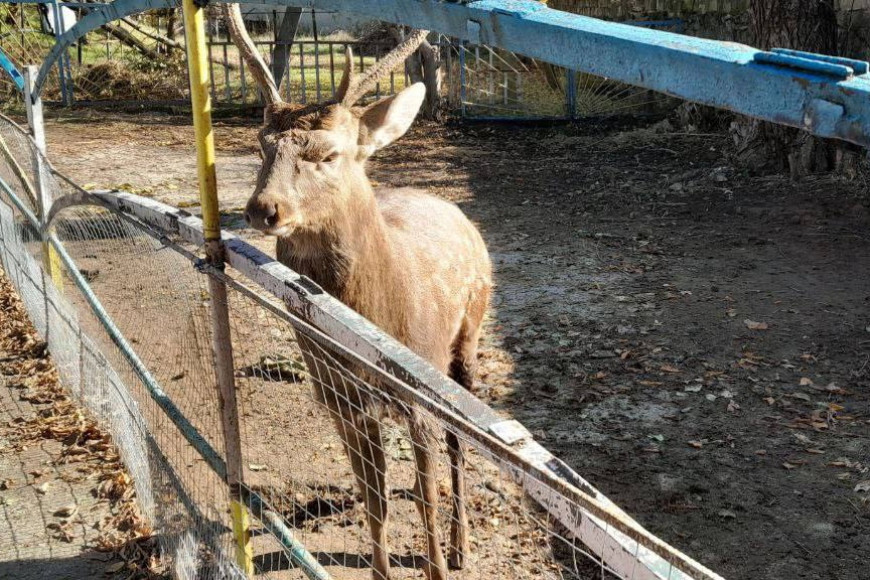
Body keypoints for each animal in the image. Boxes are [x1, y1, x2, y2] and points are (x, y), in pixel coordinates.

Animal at [224, 6, 492, 580]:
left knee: (460, 444)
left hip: (469, 334)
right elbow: (375, 501)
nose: (264, 209)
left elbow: (426, 497)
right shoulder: (341, 405)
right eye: (261, 144)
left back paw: (461, 546)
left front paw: (438, 565)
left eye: (329, 154)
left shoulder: (419, 399)